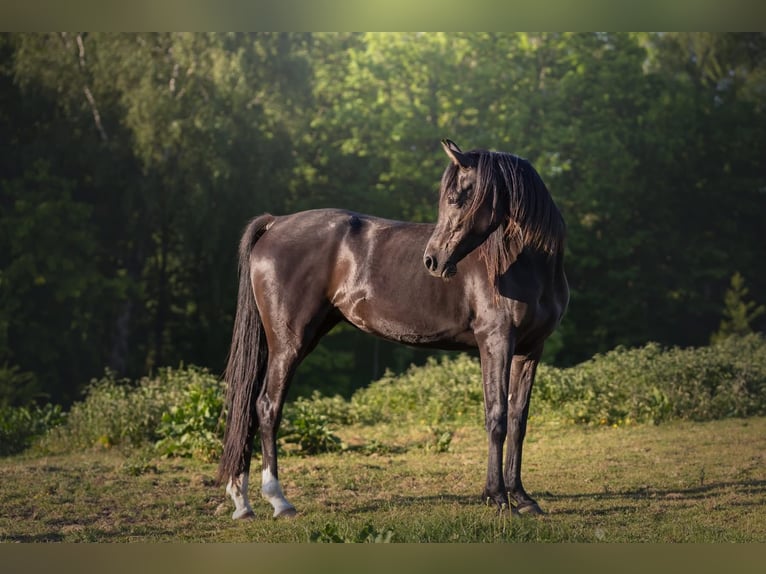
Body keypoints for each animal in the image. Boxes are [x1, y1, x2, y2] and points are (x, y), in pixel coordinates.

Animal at [217, 139, 568, 519]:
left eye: (456, 198)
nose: (432, 260)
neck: (525, 265)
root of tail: (276, 223)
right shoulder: (496, 342)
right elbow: (497, 417)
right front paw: (497, 497)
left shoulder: (530, 349)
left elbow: (518, 421)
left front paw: (522, 498)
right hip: (288, 343)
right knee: (267, 407)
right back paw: (278, 500)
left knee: (249, 406)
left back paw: (242, 501)